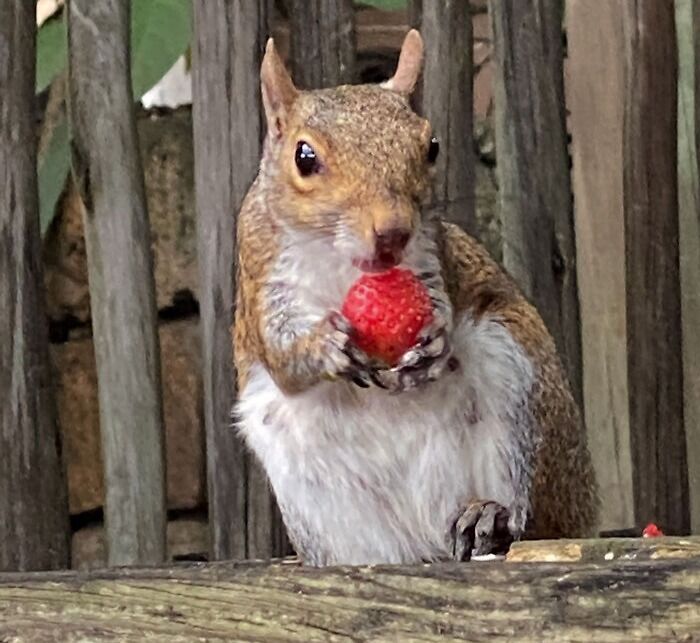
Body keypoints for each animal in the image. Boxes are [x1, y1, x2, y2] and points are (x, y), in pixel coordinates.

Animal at [234, 30, 596, 568]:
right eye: (304, 157)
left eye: (431, 146)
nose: (392, 232)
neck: (342, 263)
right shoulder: (260, 274)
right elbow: (282, 359)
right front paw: (324, 347)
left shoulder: (431, 256)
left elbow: (441, 304)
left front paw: (434, 343)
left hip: (518, 380)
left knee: (532, 516)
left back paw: (490, 516)